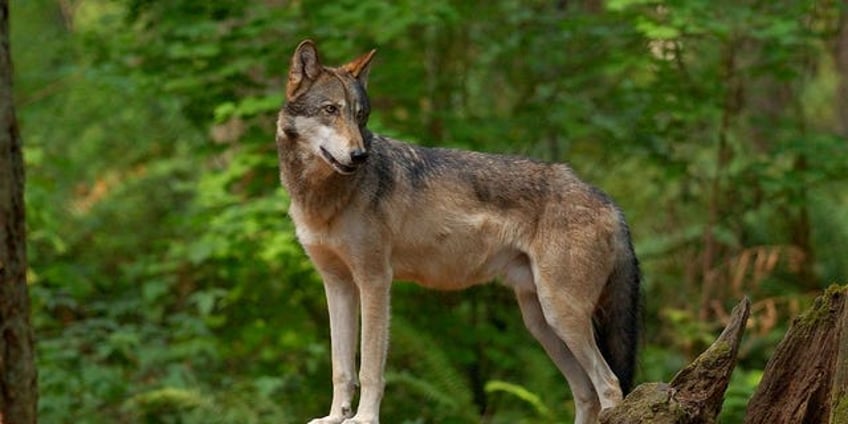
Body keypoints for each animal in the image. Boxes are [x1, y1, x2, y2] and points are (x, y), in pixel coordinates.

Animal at [275, 40, 641, 424]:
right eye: (331, 110)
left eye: (361, 116)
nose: (359, 154)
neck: (323, 196)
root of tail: (607, 199)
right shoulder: (338, 285)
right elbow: (341, 367)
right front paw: (335, 417)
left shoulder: (375, 281)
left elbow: (370, 367)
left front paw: (363, 419)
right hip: (541, 322)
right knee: (585, 393)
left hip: (562, 315)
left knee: (609, 385)